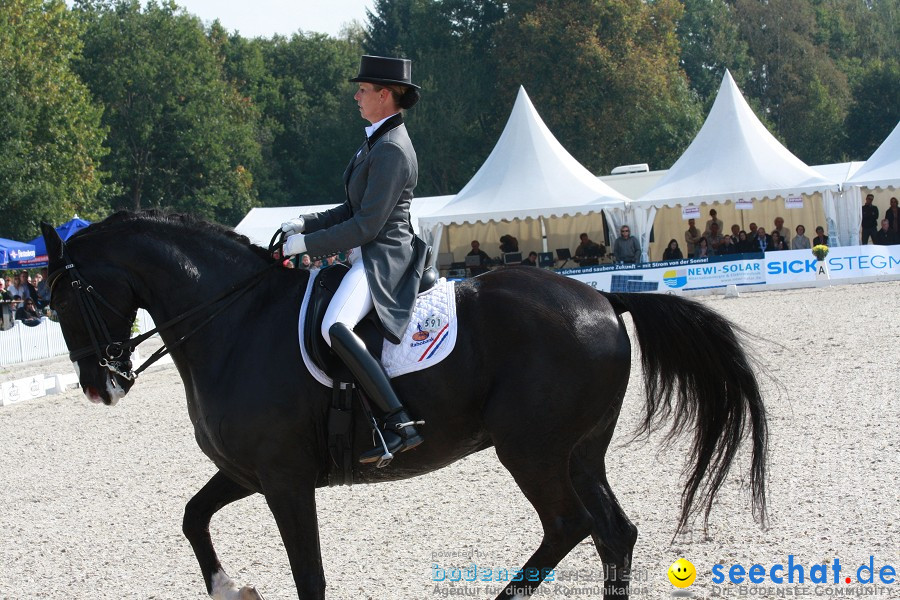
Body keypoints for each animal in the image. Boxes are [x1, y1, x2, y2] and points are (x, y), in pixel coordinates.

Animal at [38, 212, 764, 600]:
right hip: (579, 452)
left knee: (571, 525)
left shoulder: (284, 479)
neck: (233, 321)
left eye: (65, 296)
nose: (102, 385)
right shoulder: (248, 471)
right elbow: (193, 517)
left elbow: (310, 576)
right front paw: (231, 587)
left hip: (532, 450)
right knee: (611, 531)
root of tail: (605, 299)